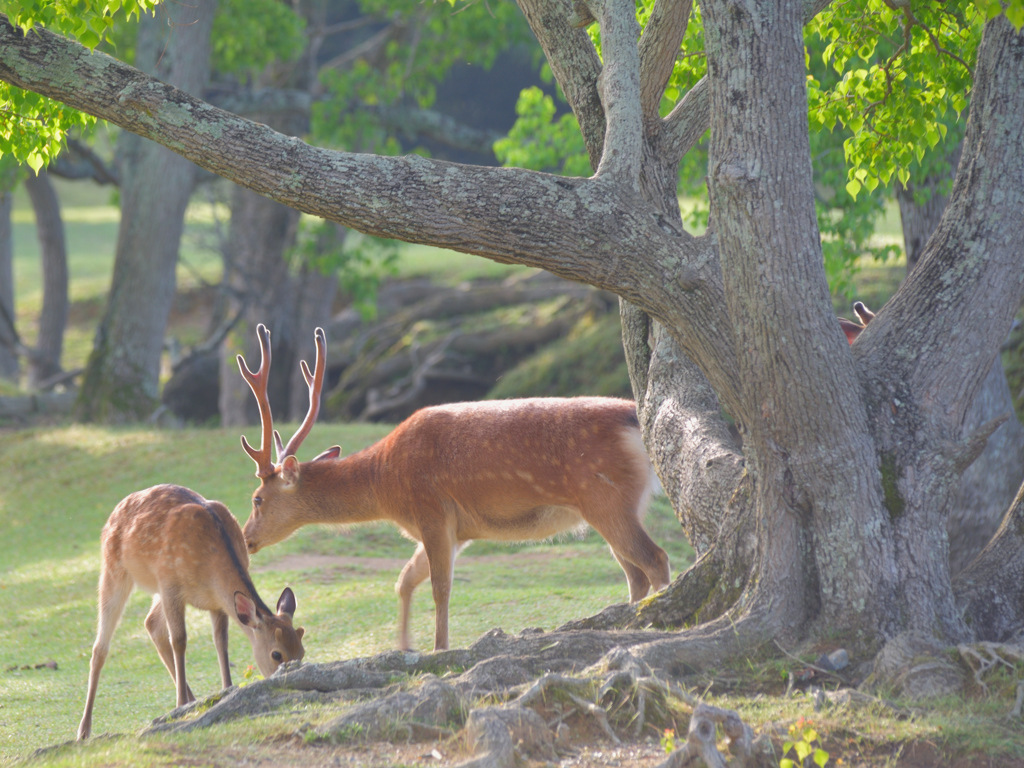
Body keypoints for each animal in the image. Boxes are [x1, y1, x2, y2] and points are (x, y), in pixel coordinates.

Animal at [76, 483, 303, 741]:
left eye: (302, 649)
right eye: (276, 654)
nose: (291, 679)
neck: (210, 569)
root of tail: (116, 509)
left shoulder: (217, 603)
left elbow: (221, 642)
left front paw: (226, 690)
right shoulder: (170, 584)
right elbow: (180, 640)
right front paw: (179, 705)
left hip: (156, 590)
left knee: (151, 623)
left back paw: (195, 699)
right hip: (114, 568)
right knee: (100, 646)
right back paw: (84, 729)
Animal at [237, 325, 671, 655]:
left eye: (257, 499)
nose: (246, 539)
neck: (386, 485)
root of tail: (634, 418)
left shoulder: (431, 511)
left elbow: (440, 587)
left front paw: (438, 648)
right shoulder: (457, 529)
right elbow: (405, 579)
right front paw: (403, 645)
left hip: (606, 499)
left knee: (656, 558)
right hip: (616, 506)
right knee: (635, 573)